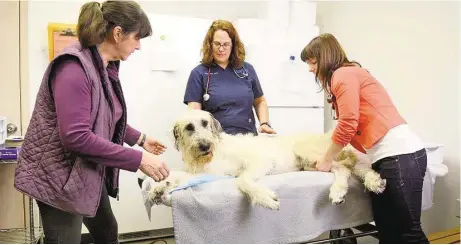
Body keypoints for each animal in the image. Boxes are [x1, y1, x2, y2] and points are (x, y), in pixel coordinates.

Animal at [139, 109, 384, 211]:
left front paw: (265, 198)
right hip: (312, 164)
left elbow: (242, 180)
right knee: (347, 169)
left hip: (310, 153)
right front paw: (158, 188)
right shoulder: (205, 173)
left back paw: (344, 189)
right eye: (189, 127)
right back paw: (358, 185)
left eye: (205, 123)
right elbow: (177, 175)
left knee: (345, 167)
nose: (205, 146)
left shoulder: (258, 162)